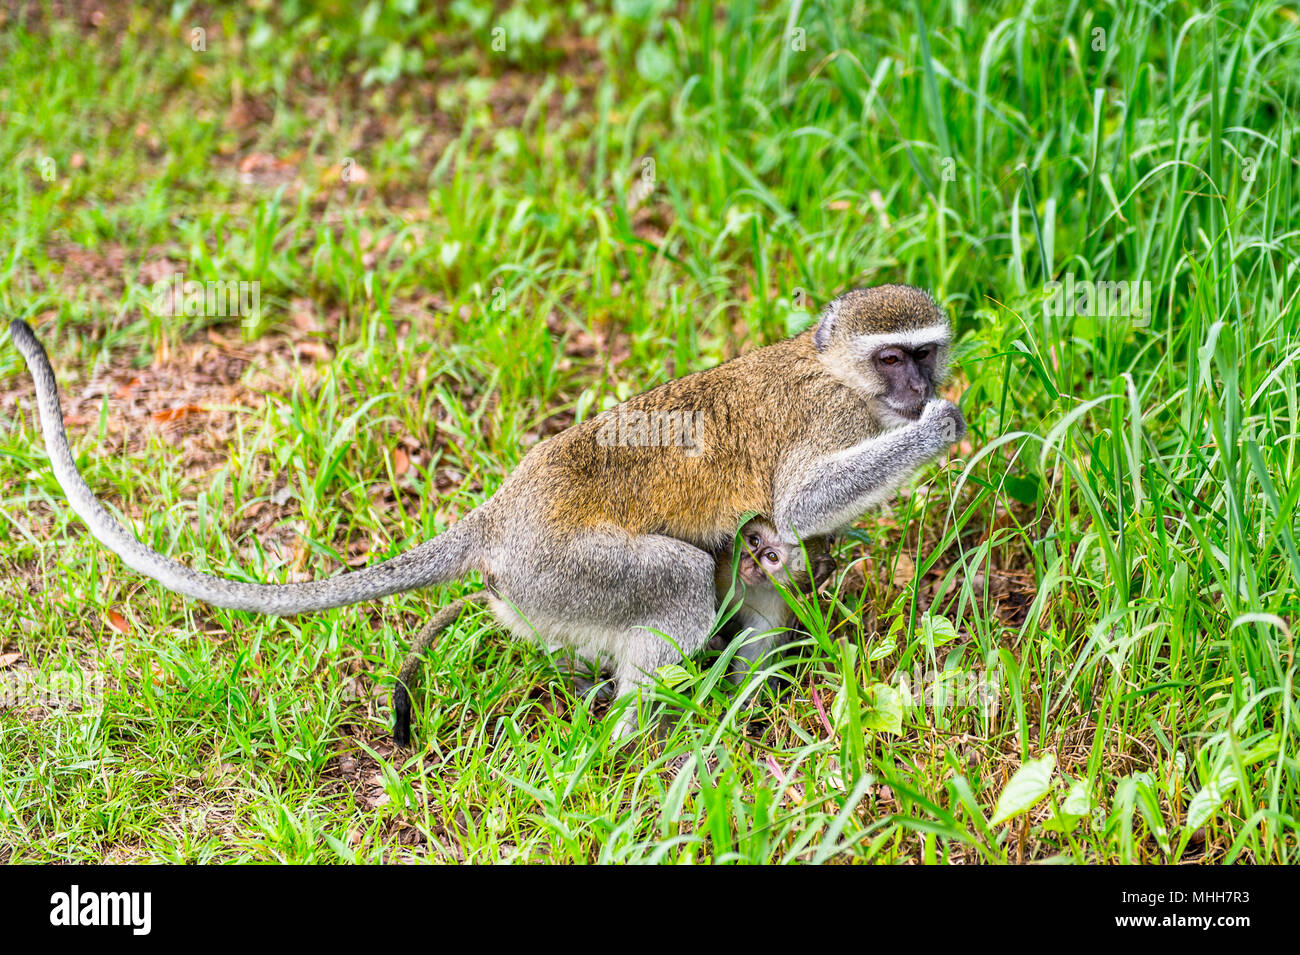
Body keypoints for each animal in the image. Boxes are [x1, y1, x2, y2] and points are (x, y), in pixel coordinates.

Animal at [9, 284, 965, 742]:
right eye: (893, 359)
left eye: (926, 353)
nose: (921, 391)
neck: (838, 373)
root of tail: (501, 515)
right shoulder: (833, 421)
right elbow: (799, 501)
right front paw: (942, 429)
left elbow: (787, 543)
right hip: (561, 566)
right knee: (683, 580)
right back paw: (638, 743)